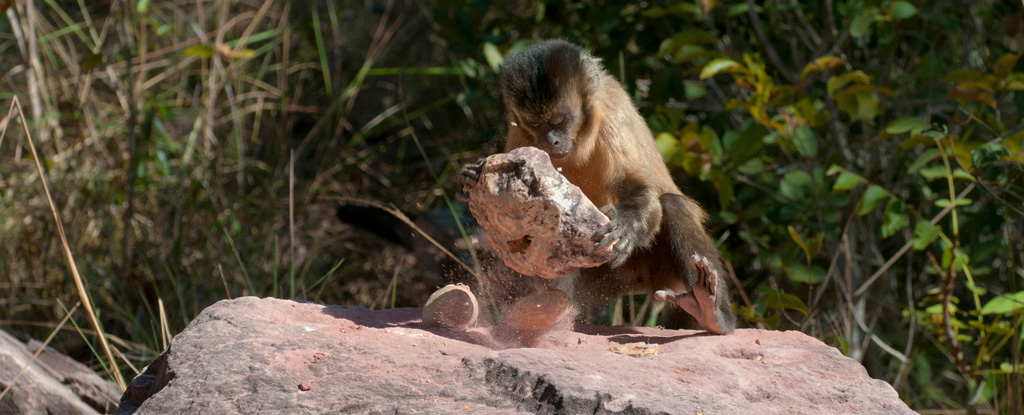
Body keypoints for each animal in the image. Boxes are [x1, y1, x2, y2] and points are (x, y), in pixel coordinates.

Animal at [458, 40, 737, 334]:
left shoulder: (611, 110)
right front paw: (470, 176)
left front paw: (625, 227)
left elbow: (634, 184)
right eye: (536, 124)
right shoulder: (519, 128)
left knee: (672, 205)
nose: (550, 140)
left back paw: (710, 310)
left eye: (558, 121)